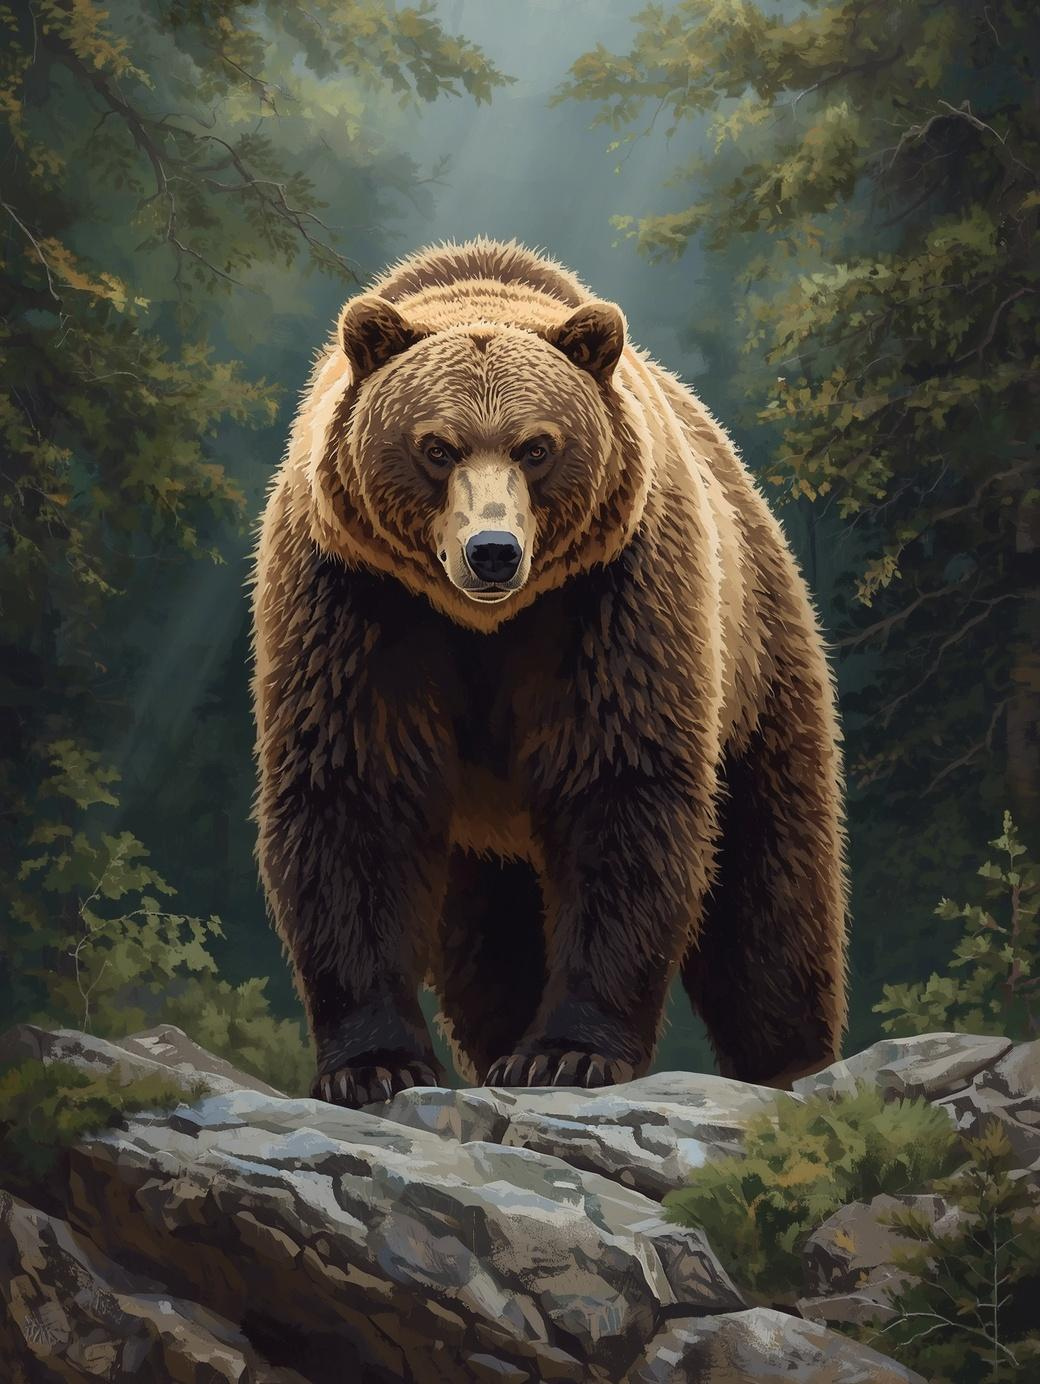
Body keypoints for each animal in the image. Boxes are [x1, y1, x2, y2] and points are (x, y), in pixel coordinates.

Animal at [250, 236, 848, 1108]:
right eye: (436, 446)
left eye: (537, 446)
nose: (492, 551)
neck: (484, 624)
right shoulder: (356, 601)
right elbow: (352, 797)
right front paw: (375, 1066)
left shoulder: (613, 598)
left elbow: (621, 791)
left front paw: (567, 1053)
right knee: (488, 936)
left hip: (759, 659)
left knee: (769, 884)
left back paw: (790, 1059)